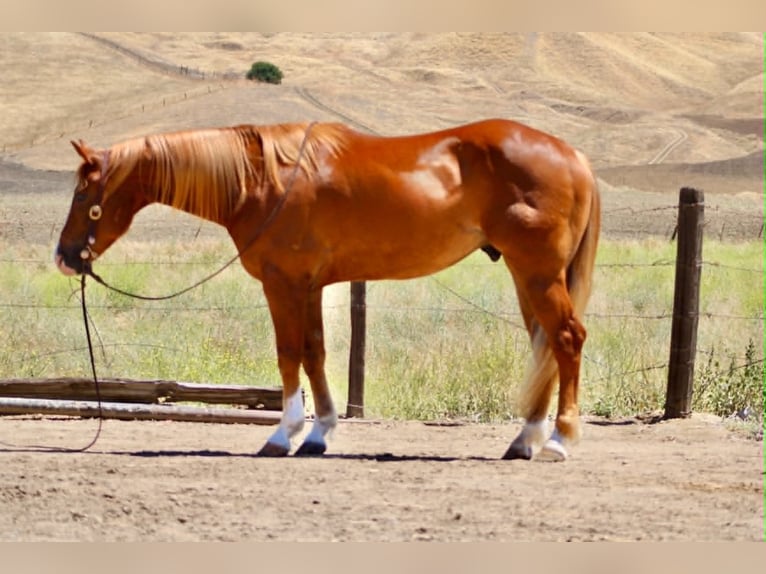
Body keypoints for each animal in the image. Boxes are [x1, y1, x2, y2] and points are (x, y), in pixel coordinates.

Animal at [54, 118, 600, 461]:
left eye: (83, 193)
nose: (64, 257)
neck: (261, 180)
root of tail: (574, 155)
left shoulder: (283, 284)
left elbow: (288, 354)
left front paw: (284, 434)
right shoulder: (309, 286)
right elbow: (314, 353)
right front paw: (320, 433)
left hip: (538, 273)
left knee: (566, 339)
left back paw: (558, 442)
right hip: (526, 276)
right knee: (544, 346)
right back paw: (525, 440)